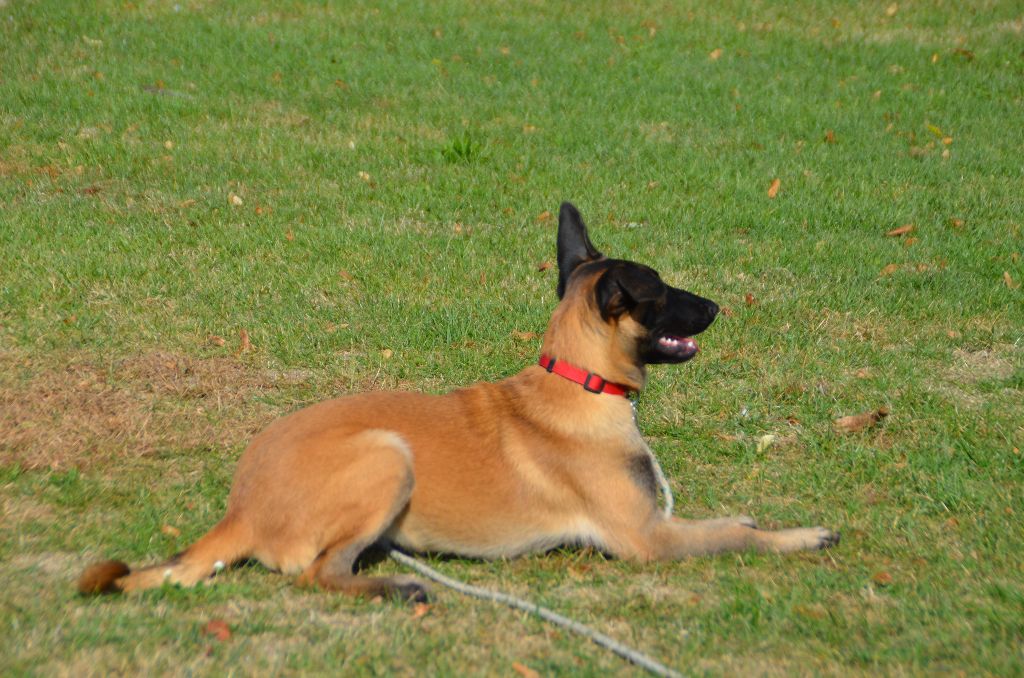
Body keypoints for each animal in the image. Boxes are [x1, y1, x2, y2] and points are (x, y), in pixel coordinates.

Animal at [79, 201, 839, 602]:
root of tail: (239, 508)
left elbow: (723, 522)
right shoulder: (645, 541)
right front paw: (800, 536)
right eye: (666, 292)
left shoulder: (657, 523)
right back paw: (391, 588)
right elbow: (735, 537)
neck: (578, 382)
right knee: (318, 574)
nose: (716, 307)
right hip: (388, 456)